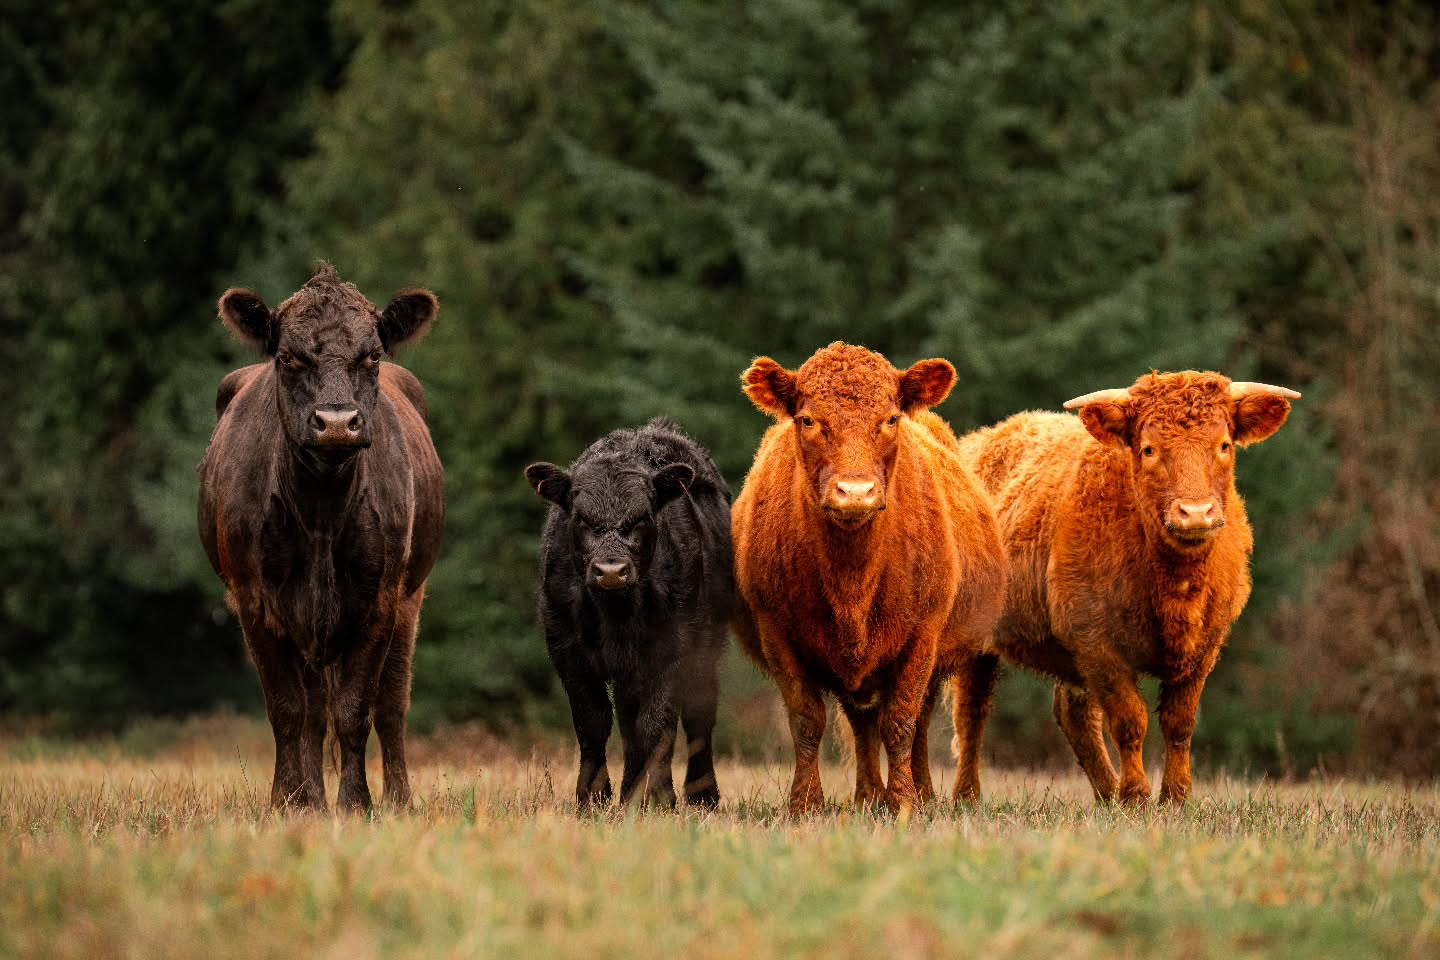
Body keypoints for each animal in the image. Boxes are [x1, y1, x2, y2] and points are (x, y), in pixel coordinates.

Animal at [197, 263, 443, 812]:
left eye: (371, 355)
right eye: (288, 356)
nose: (336, 423)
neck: (321, 512)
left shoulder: (381, 597)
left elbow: (356, 708)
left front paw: (356, 804)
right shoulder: (253, 599)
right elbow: (288, 709)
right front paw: (291, 803)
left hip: (411, 597)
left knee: (392, 704)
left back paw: (399, 800)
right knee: (311, 709)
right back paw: (309, 794)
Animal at [525, 417, 734, 810]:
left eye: (643, 517)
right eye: (581, 519)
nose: (611, 571)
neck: (616, 614)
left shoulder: (673, 649)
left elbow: (657, 723)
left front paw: (657, 798)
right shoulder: (566, 649)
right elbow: (592, 721)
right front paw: (592, 798)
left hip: (708, 646)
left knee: (699, 715)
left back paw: (701, 795)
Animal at [731, 342, 1007, 815]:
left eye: (890, 418)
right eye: (808, 419)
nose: (855, 492)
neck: (852, 583)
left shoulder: (922, 637)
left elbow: (901, 722)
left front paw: (903, 804)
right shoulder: (777, 634)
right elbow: (807, 720)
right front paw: (805, 803)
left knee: (916, 722)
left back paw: (922, 794)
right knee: (861, 721)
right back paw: (866, 796)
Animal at [956, 371, 1299, 805]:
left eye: (1224, 445)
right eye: (1149, 449)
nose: (1196, 513)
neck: (1174, 586)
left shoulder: (1205, 646)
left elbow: (1179, 723)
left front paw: (1176, 798)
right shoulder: (1097, 643)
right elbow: (1130, 721)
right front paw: (1136, 796)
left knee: (1073, 713)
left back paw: (1106, 794)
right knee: (970, 712)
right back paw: (963, 795)